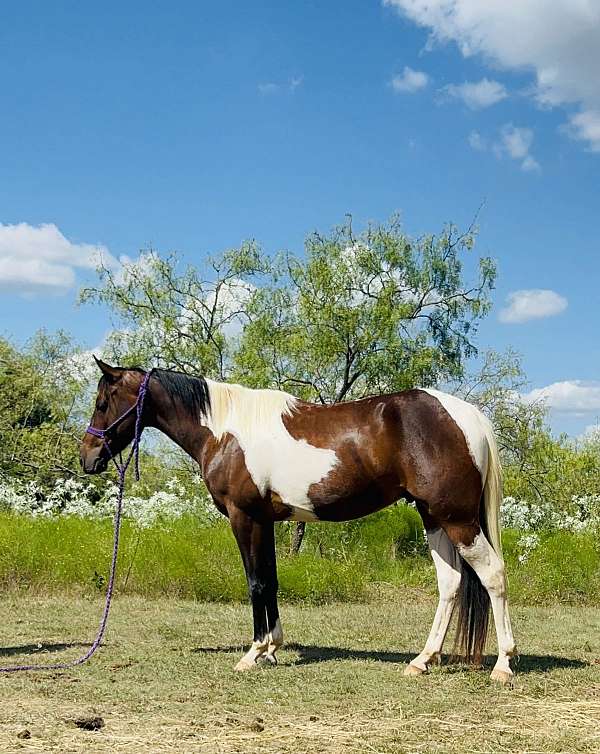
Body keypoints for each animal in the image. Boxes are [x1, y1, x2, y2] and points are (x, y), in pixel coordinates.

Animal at [81, 358, 516, 680]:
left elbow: (256, 582)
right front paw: (273, 649)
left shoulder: (244, 517)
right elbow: (271, 580)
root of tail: (468, 416)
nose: (87, 458)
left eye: (102, 403)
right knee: (451, 583)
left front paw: (253, 653)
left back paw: (503, 665)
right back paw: (422, 660)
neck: (224, 432)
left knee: (493, 574)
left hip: (457, 518)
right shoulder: (266, 521)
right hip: (435, 518)